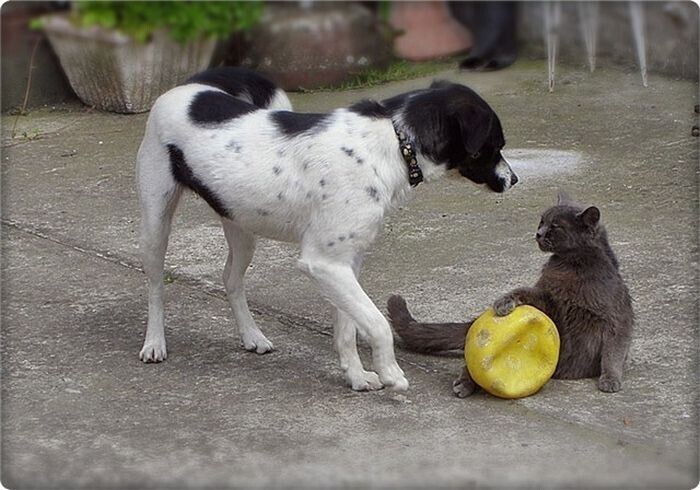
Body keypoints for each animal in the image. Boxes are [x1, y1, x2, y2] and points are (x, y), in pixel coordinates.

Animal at [138, 67, 520, 392]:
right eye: (495, 144)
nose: (514, 179)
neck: (397, 142)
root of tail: (189, 85)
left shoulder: (346, 264)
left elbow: (347, 329)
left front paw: (358, 377)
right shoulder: (323, 263)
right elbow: (378, 323)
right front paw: (391, 373)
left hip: (241, 225)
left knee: (230, 279)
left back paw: (252, 336)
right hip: (156, 223)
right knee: (156, 286)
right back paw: (154, 343)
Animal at [388, 192, 636, 398]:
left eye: (555, 226)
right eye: (541, 222)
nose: (538, 233)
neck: (571, 266)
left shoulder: (616, 319)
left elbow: (613, 352)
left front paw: (611, 379)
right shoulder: (548, 300)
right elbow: (523, 291)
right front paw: (503, 302)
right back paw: (464, 383)